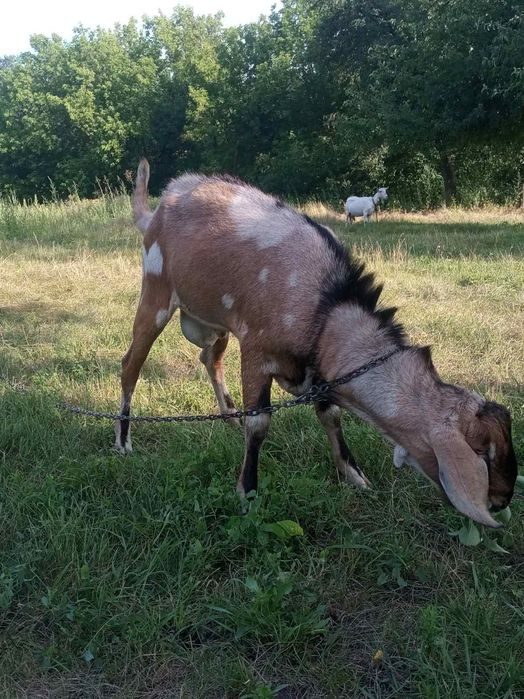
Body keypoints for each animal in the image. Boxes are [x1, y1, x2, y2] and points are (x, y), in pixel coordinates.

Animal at [115, 161, 516, 528]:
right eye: (483, 452)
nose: (501, 500)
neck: (326, 305)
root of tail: (156, 212)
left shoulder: (319, 367)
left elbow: (331, 415)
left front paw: (354, 476)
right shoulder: (256, 349)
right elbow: (259, 424)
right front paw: (248, 493)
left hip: (218, 323)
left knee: (208, 357)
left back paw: (228, 415)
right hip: (156, 294)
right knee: (130, 364)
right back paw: (123, 441)